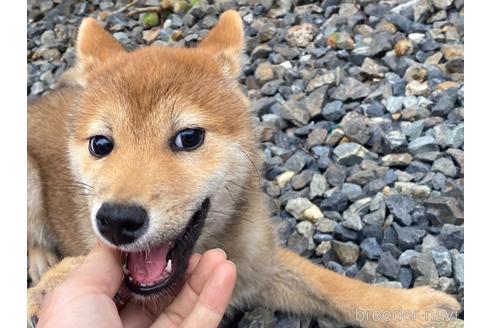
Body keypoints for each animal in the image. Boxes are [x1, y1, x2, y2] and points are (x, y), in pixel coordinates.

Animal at [26, 9, 460, 326]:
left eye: (189, 137)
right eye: (100, 144)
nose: (117, 220)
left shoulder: (257, 264)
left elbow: (330, 284)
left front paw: (409, 309)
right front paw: (47, 290)